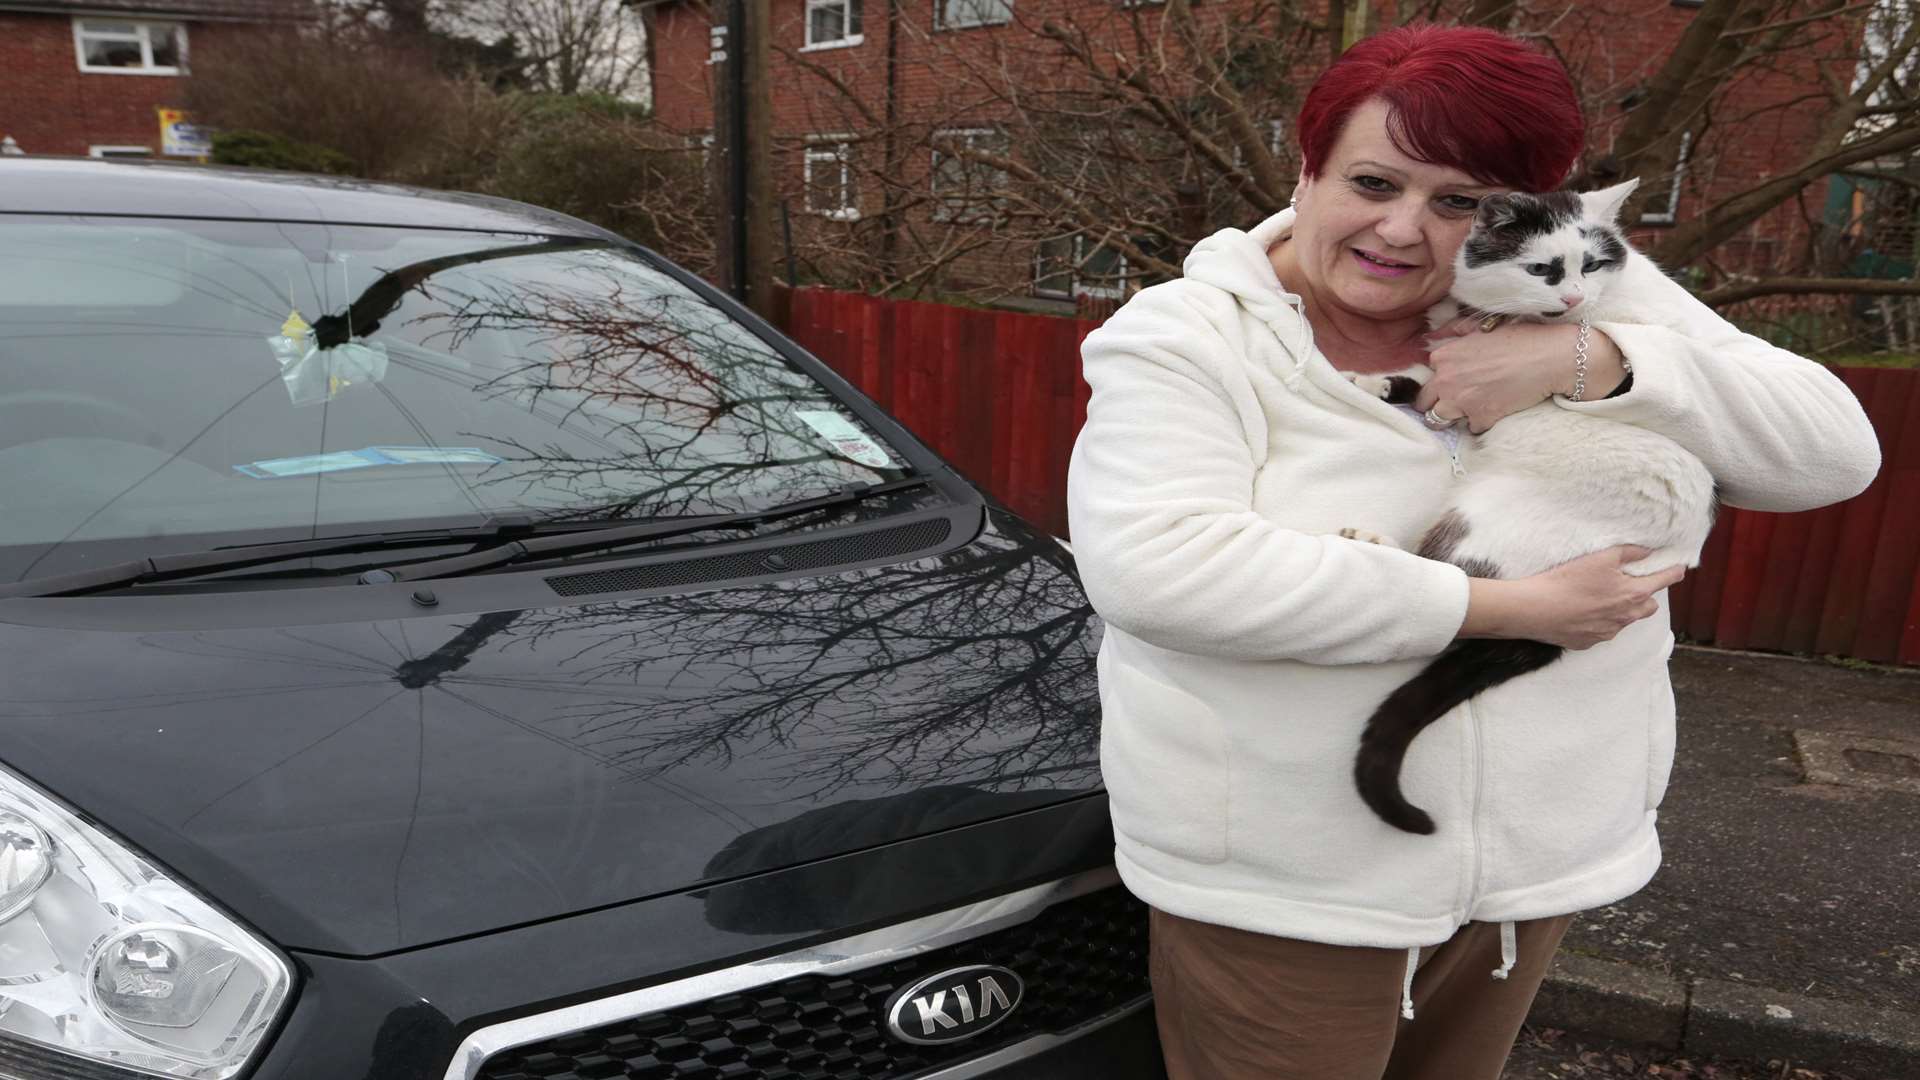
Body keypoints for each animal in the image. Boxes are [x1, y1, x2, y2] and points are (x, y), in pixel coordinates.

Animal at [1336, 180, 1728, 834]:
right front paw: (1377, 384)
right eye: (1543, 269)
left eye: (1591, 265)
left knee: (1451, 585)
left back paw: (1368, 542)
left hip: (1480, 523)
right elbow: (1422, 379)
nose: (1573, 297)